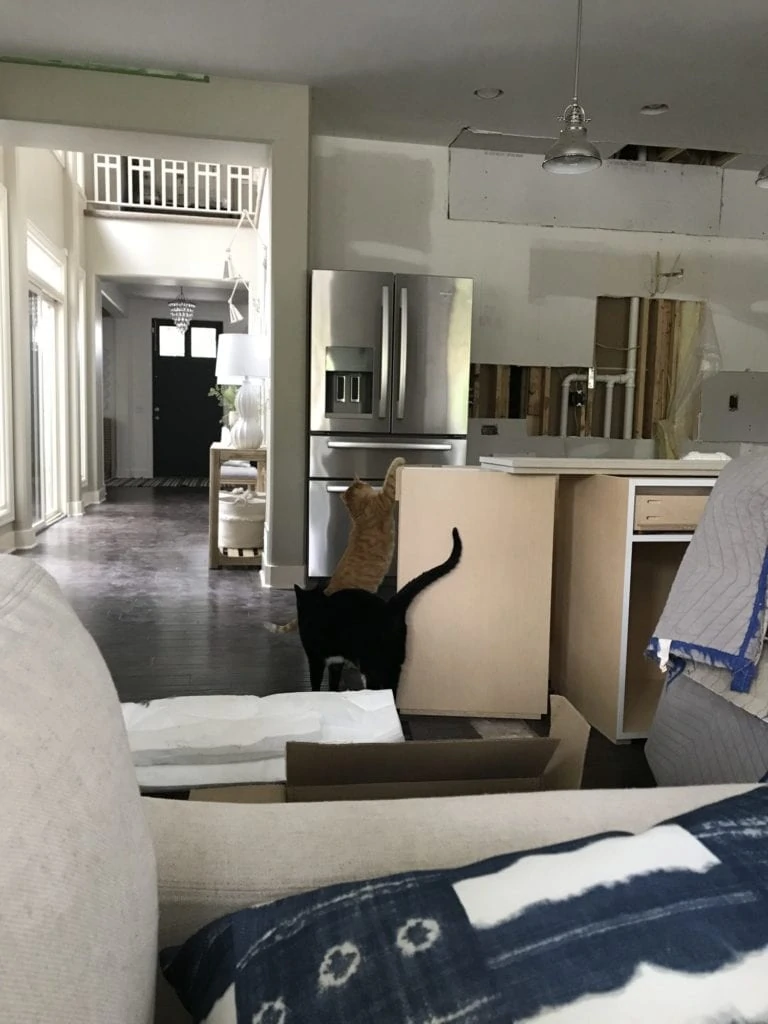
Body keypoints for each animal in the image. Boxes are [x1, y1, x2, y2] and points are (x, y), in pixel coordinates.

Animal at [264, 456, 405, 630]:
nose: (366, 482)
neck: (359, 513)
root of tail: (328, 589)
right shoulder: (386, 498)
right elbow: (390, 474)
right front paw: (399, 460)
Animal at [294, 528, 462, 696]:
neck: (316, 608)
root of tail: (390, 606)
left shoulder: (315, 658)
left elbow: (315, 684)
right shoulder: (336, 661)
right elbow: (333, 683)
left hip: (370, 663)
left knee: (375, 686)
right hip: (395, 662)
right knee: (391, 688)